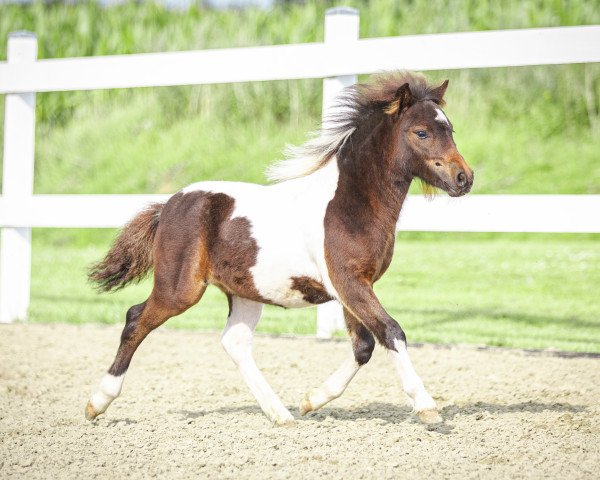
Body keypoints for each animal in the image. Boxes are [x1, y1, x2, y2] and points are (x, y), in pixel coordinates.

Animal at [84, 70, 474, 424]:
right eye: (421, 132)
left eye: (451, 129)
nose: (464, 178)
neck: (350, 203)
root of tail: (169, 205)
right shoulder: (348, 282)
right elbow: (391, 332)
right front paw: (427, 407)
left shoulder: (354, 286)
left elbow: (363, 345)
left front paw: (310, 401)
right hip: (180, 289)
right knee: (136, 319)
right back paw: (96, 404)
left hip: (245, 291)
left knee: (235, 342)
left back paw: (280, 414)